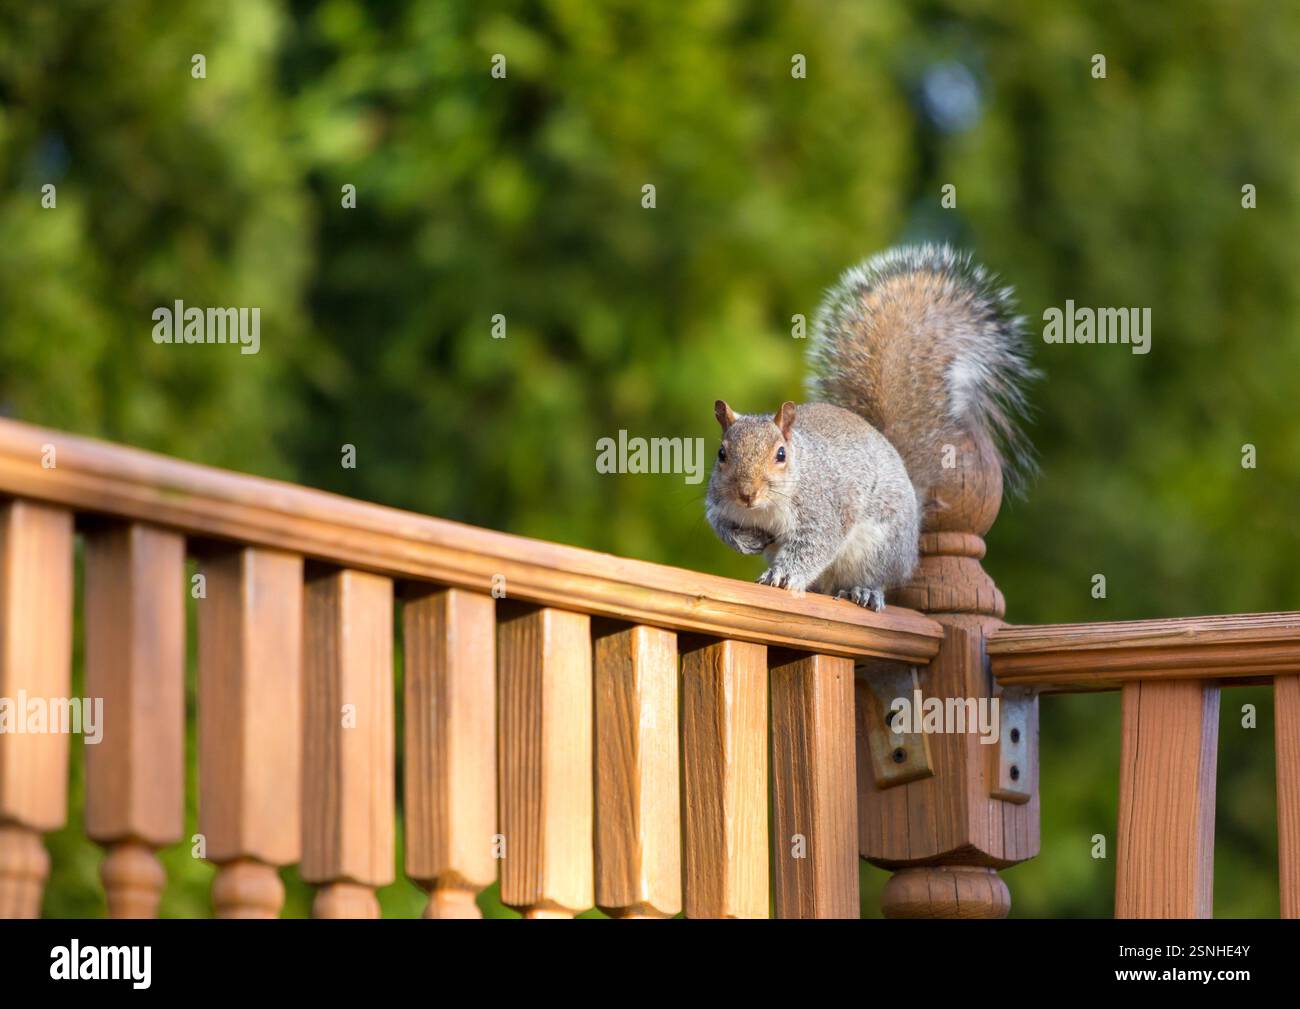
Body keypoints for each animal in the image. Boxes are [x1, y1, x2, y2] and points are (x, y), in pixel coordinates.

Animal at [705, 244, 1037, 611]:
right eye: (721, 454)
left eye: (780, 454)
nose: (746, 494)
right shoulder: (718, 503)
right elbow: (719, 525)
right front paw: (745, 541)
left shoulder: (823, 510)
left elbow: (813, 546)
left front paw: (784, 576)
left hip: (880, 546)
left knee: (877, 577)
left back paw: (864, 591)